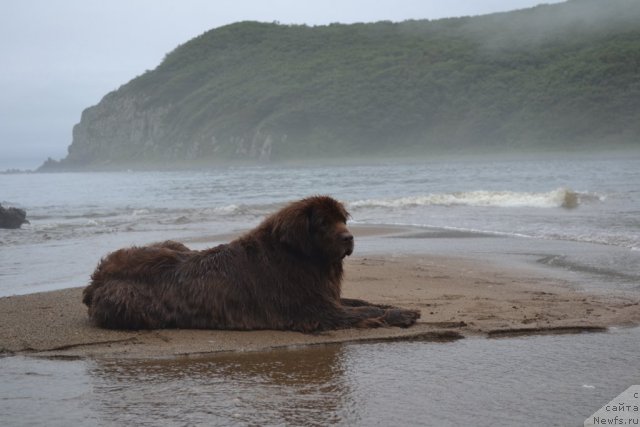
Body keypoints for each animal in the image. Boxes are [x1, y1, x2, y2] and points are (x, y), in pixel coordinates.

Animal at [82, 196, 422, 332]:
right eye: (323, 223)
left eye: (343, 219)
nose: (349, 237)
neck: (300, 257)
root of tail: (96, 279)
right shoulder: (314, 309)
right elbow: (361, 310)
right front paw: (400, 314)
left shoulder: (325, 296)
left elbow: (363, 301)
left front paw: (398, 307)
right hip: (130, 303)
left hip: (174, 244)